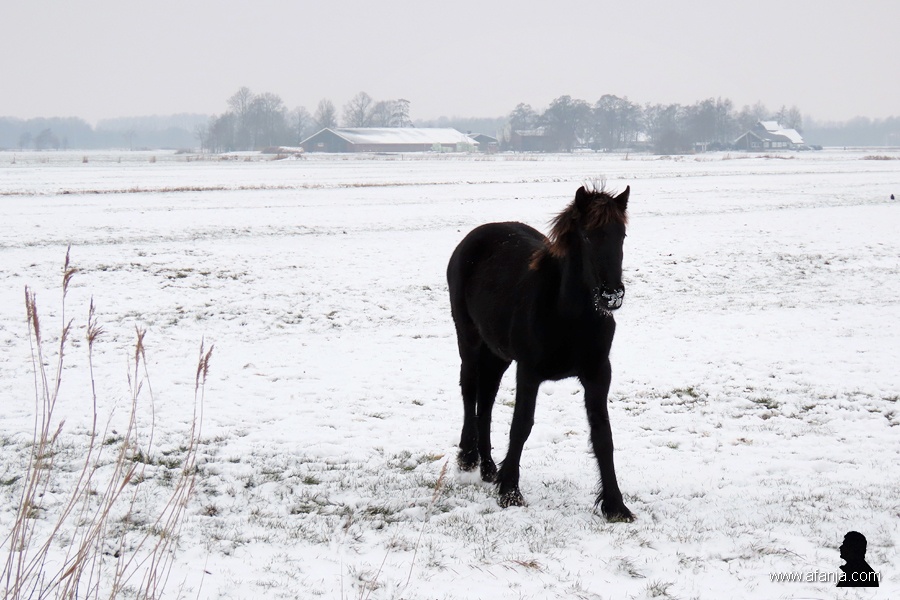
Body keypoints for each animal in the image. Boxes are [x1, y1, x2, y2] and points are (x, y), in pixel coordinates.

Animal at [446, 182, 633, 521]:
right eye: (587, 236)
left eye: (622, 234)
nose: (612, 295)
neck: (569, 316)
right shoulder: (529, 371)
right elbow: (521, 425)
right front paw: (509, 491)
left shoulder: (598, 373)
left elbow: (603, 434)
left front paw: (615, 504)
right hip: (468, 339)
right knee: (469, 391)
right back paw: (468, 458)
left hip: (498, 353)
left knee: (487, 398)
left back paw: (488, 467)